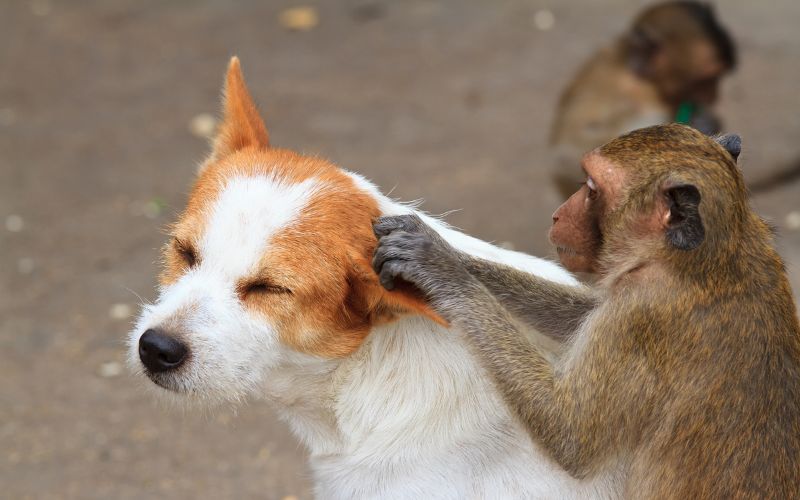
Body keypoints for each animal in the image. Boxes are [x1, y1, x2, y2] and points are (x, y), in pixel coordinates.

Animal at [372, 124, 800, 496]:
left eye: (592, 188)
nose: (559, 213)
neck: (716, 254)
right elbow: (581, 316)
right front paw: (455, 256)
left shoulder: (639, 317)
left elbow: (569, 437)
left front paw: (442, 269)